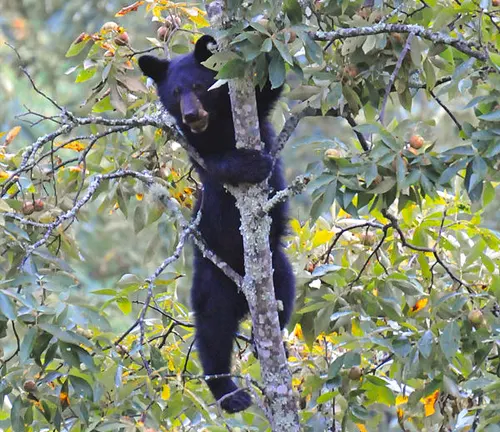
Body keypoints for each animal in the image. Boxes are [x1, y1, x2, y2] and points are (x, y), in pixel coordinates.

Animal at [139, 35, 294, 414]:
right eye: (175, 92)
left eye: (198, 86)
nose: (191, 114)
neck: (219, 125)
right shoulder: (194, 145)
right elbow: (212, 165)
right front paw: (249, 164)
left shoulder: (254, 106)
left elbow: (269, 83)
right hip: (212, 281)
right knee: (212, 333)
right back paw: (230, 393)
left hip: (277, 266)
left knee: (283, 295)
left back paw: (268, 345)